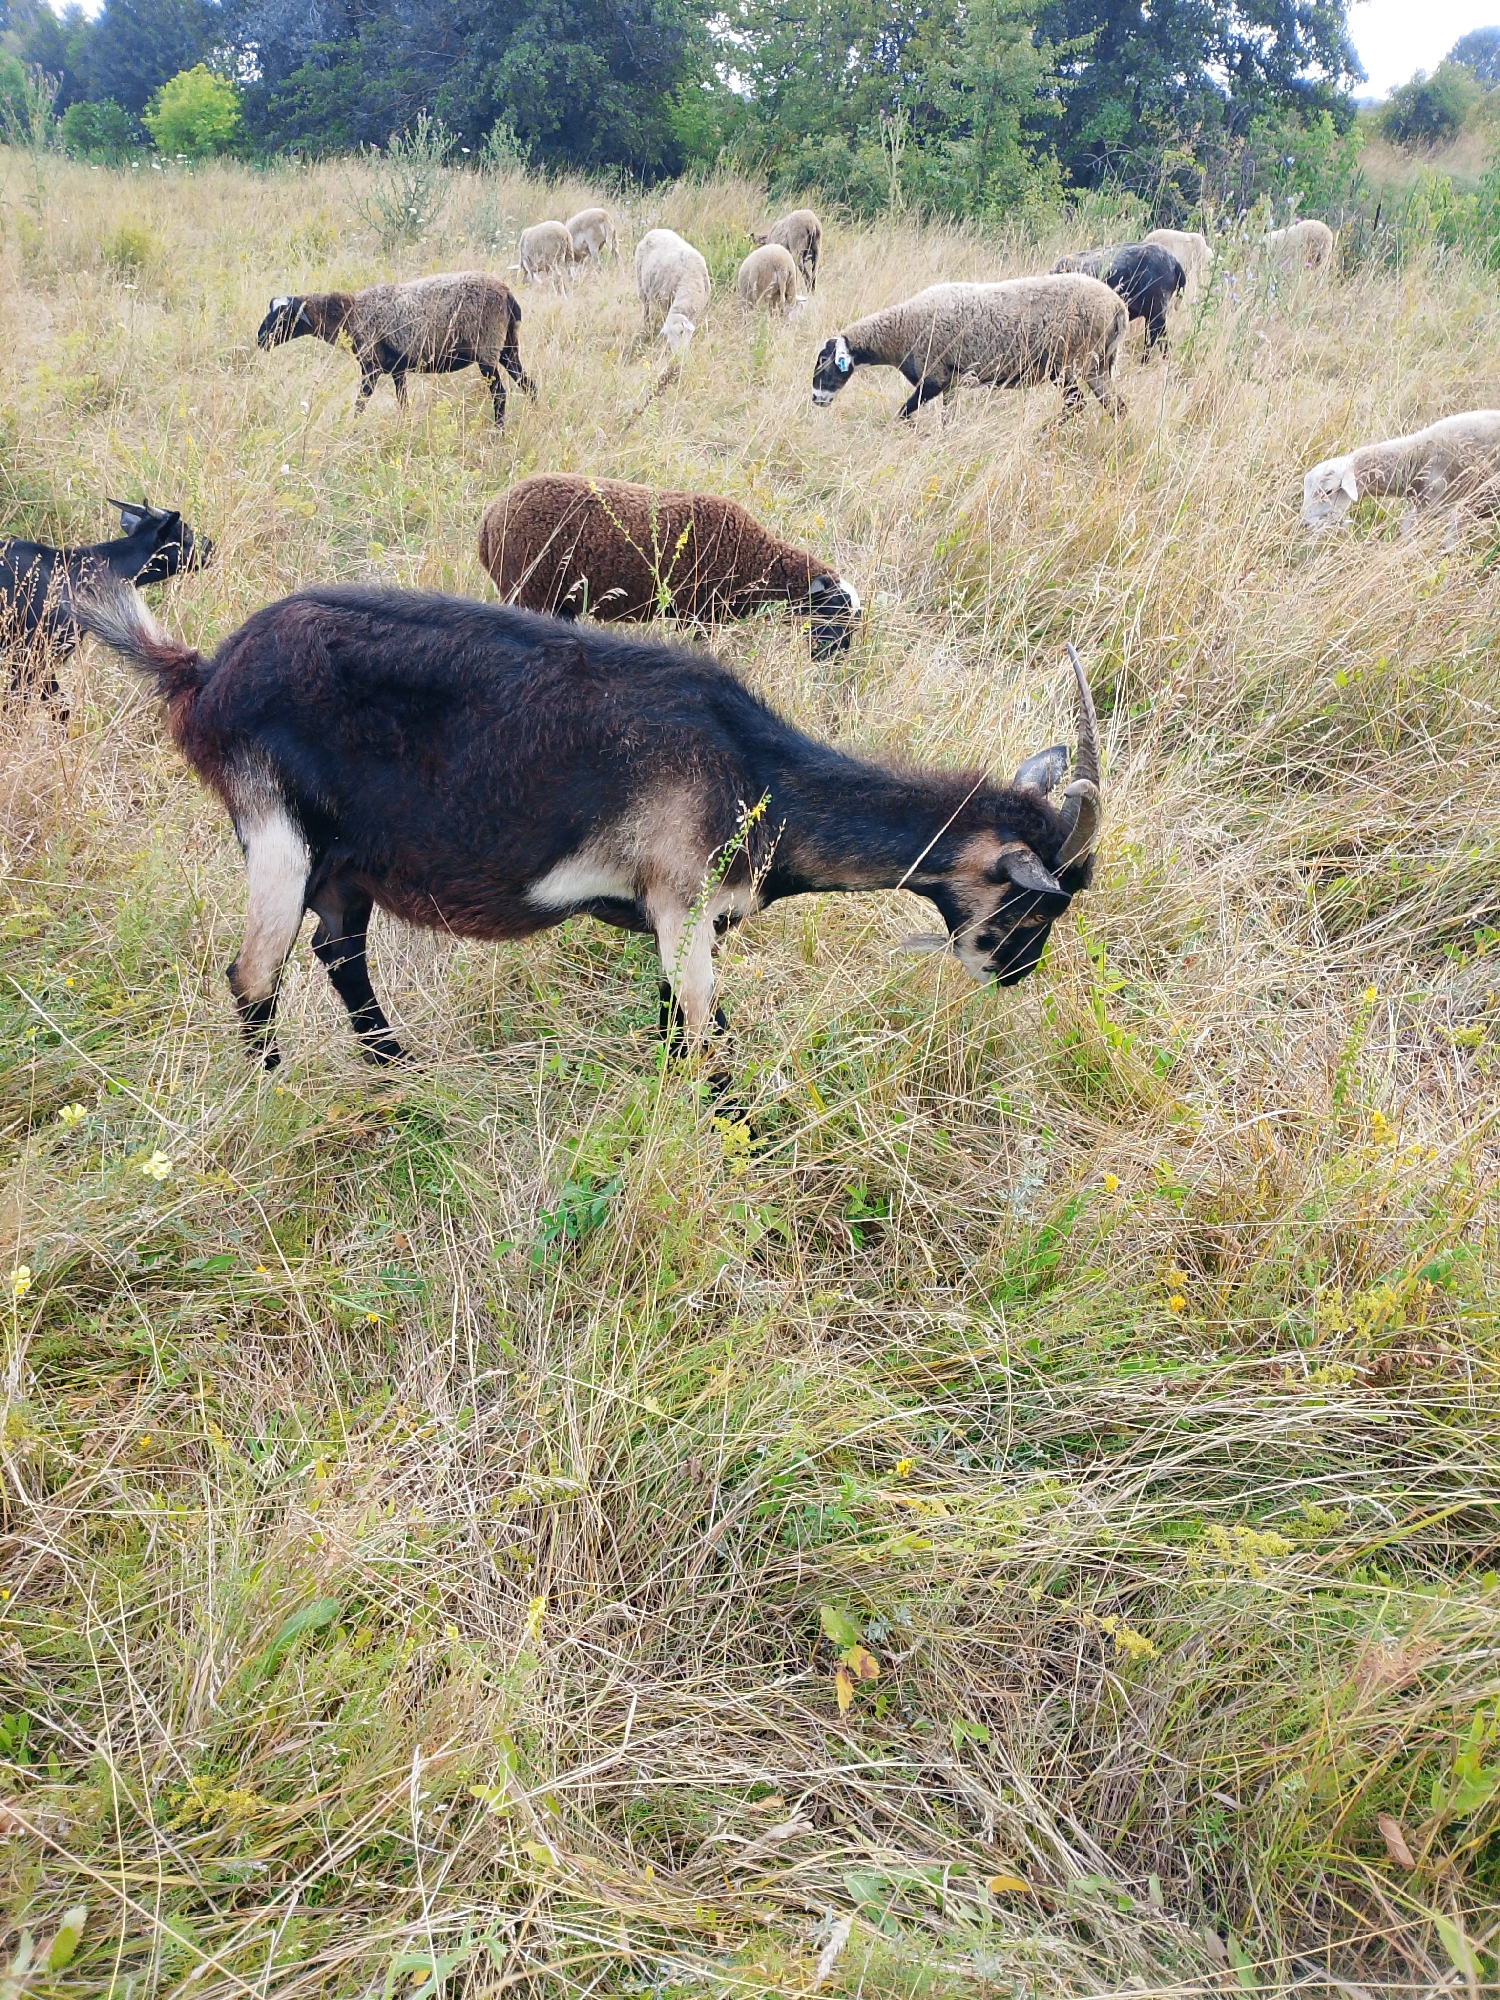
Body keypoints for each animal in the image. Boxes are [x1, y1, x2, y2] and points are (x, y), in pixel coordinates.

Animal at [73, 581, 1104, 1072]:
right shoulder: (682, 902)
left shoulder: (670, 921)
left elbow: (675, 1029)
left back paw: (398, 1068)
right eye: (1039, 906)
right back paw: (279, 1087)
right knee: (253, 977)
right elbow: (707, 1039)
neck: (757, 773)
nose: (1017, 975)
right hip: (276, 829)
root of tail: (204, 673)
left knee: (340, 952)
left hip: (345, 863)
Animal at [256, 272, 534, 424]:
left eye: (284, 316)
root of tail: (508, 295)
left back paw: (499, 434)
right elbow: (403, 403)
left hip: (487, 350)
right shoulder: (398, 369)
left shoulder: (371, 367)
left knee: (500, 395)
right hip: (508, 348)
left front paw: (351, 429)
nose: (260, 339)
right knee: (529, 385)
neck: (350, 313)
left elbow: (360, 404)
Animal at [477, 474, 860, 659]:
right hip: (528, 592)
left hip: (558, 602)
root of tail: (489, 517)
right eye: (833, 611)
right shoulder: (698, 616)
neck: (757, 561)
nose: (835, 661)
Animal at [811, 275, 1128, 420]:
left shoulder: (934, 378)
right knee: (1116, 406)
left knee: (1076, 404)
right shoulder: (951, 384)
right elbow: (947, 419)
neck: (900, 331)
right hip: (1098, 366)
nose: (816, 399)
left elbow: (904, 412)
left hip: (1066, 362)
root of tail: (1117, 307)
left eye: (825, 361)